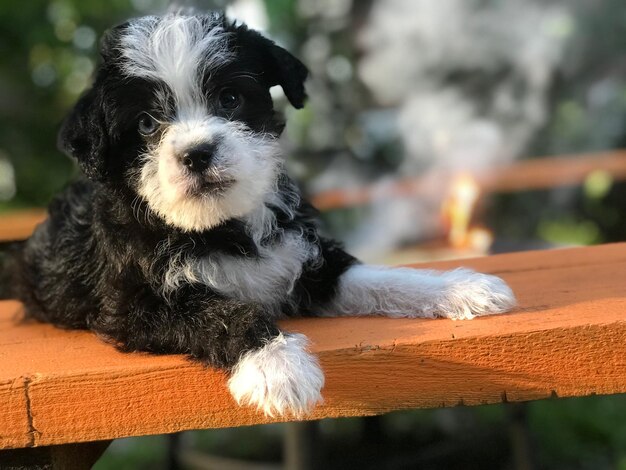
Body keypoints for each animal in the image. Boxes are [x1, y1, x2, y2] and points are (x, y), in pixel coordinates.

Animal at [2, 13, 516, 418]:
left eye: (230, 99)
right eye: (146, 123)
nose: (197, 153)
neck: (223, 227)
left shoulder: (307, 261)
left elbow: (377, 276)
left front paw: (461, 288)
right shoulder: (133, 304)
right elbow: (224, 313)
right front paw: (277, 366)